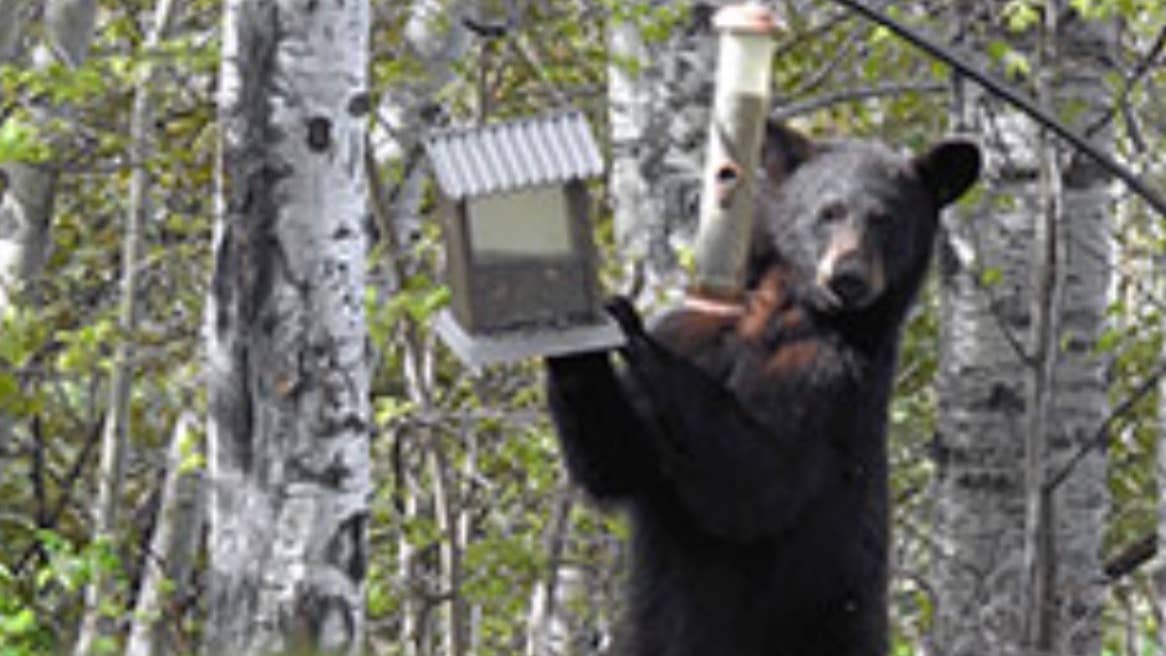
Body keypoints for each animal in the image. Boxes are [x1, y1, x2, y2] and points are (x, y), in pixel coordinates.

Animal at [543, 121, 981, 656]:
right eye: (829, 211)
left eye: (886, 218)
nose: (849, 276)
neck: (782, 305)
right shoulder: (695, 332)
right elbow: (620, 459)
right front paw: (576, 328)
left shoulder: (830, 378)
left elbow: (760, 483)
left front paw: (632, 330)